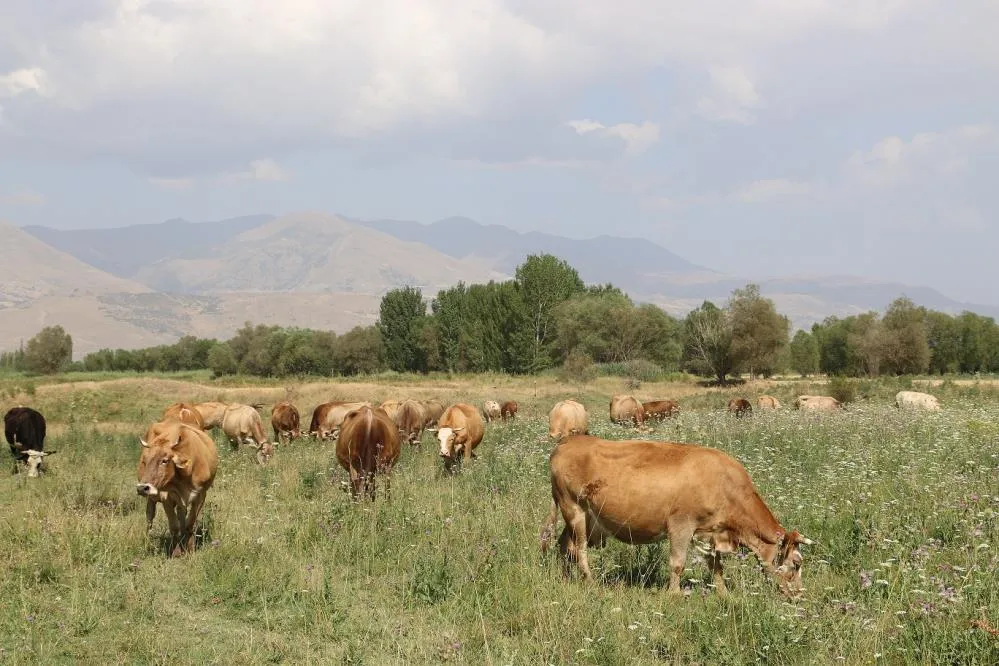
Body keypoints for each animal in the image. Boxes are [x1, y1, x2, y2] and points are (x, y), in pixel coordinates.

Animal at [136, 420, 218, 556]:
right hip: (152, 498)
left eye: (164, 460)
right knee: (149, 517)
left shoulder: (201, 495)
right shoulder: (166, 497)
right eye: (145, 460)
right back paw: (148, 540)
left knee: (181, 514)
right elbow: (174, 526)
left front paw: (190, 549)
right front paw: (176, 552)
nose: (142, 488)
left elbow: (190, 524)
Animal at [540, 436, 812, 596]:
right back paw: (591, 583)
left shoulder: (710, 532)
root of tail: (568, 441)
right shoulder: (682, 524)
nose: (799, 595)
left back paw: (566, 579)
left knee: (565, 546)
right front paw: (674, 595)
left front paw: (724, 595)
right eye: (796, 563)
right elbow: (678, 563)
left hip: (581, 516)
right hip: (573, 509)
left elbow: (716, 566)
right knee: (579, 550)